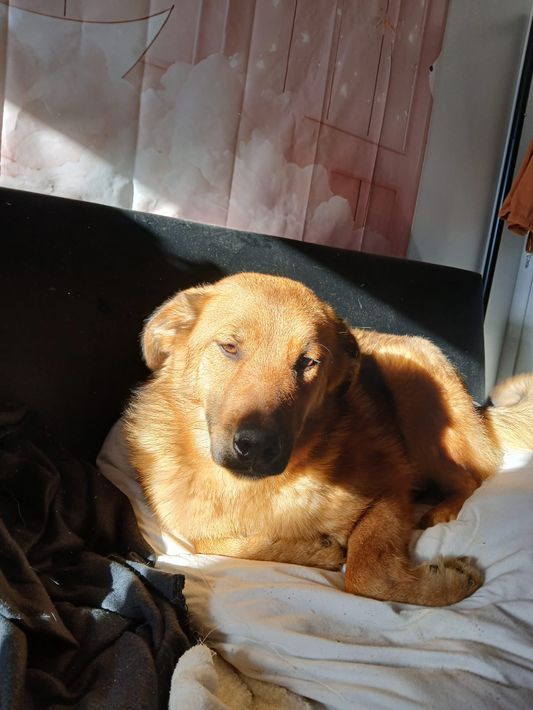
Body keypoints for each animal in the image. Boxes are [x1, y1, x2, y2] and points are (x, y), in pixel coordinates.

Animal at [124, 273, 533, 606]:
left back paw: (443, 510)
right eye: (229, 347)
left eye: (307, 362)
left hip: (414, 394)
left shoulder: (391, 488)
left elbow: (366, 572)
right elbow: (218, 542)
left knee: (473, 476)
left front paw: (445, 584)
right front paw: (314, 549)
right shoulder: (194, 532)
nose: (257, 446)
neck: (257, 490)